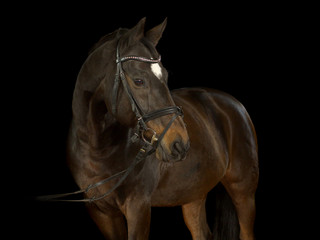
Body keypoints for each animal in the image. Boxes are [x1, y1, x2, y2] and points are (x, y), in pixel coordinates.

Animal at [66, 17, 258, 240]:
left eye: (165, 76)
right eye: (139, 81)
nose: (180, 144)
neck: (97, 147)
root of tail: (234, 104)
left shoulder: (138, 207)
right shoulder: (101, 212)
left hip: (244, 193)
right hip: (193, 193)